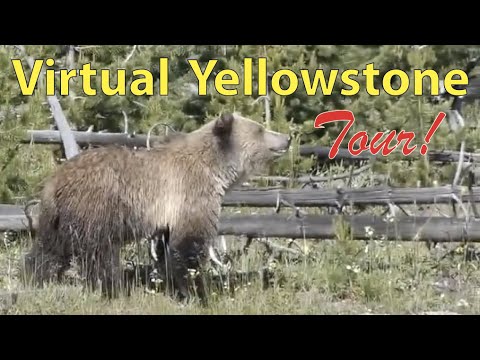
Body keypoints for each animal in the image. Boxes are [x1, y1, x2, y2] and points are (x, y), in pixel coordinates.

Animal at [24, 113, 290, 304]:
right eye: (260, 129)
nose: (287, 138)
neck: (215, 170)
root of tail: (55, 180)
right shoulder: (189, 195)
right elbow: (189, 247)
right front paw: (198, 292)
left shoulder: (168, 215)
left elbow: (166, 250)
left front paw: (169, 285)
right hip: (97, 208)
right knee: (99, 254)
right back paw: (112, 289)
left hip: (58, 217)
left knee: (49, 248)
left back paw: (37, 278)